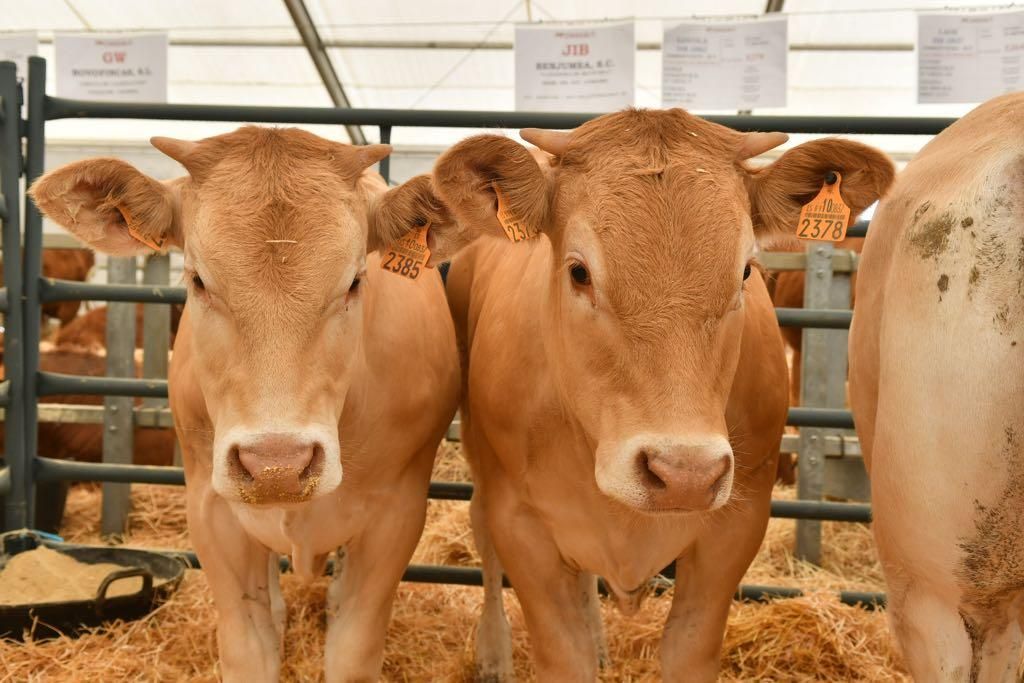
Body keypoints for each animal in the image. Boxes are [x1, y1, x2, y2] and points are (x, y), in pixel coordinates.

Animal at [29, 125, 460, 679]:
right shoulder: (213, 514)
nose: (277, 465)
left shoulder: (397, 516)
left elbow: (352, 650)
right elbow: (250, 647)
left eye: (355, 281)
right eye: (197, 279)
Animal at [376, 109, 897, 679]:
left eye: (744, 271)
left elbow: (687, 647)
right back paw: (493, 651)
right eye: (579, 271)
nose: (685, 474)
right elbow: (565, 653)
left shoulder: (735, 530)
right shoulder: (522, 526)